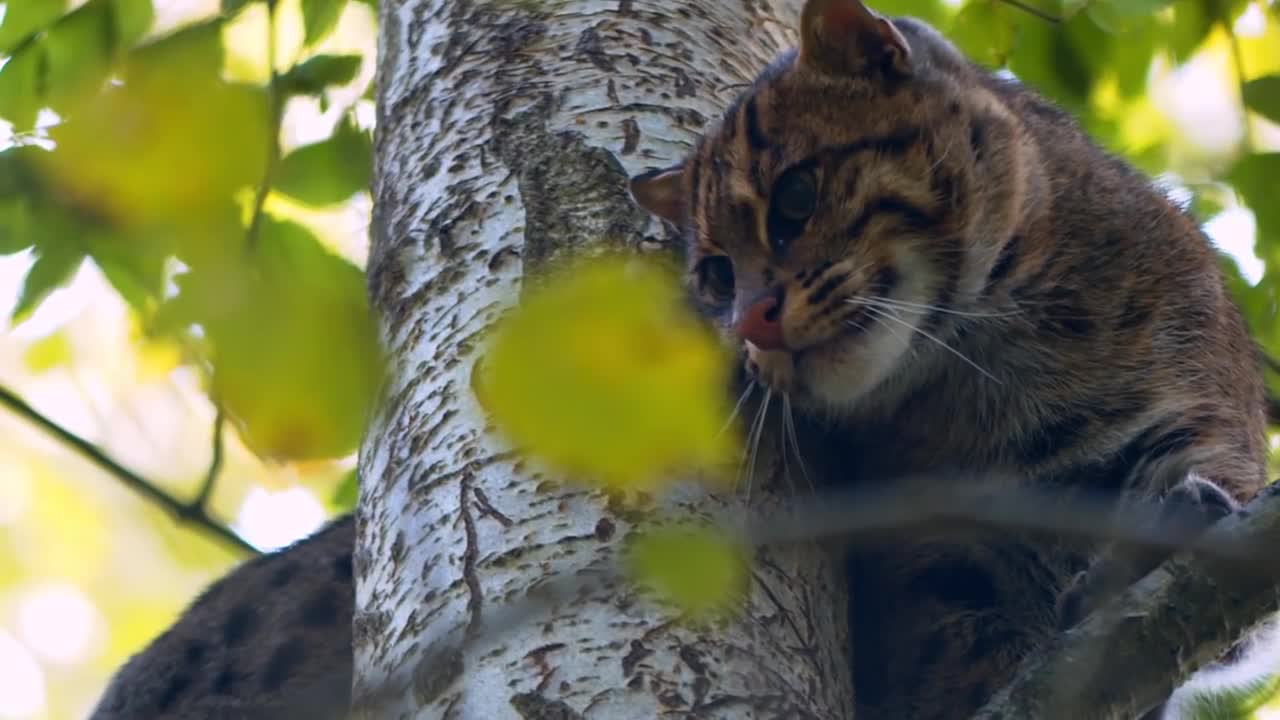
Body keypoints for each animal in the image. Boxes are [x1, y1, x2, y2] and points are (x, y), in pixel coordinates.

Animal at [629, 0, 1269, 712]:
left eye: (796, 197)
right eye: (717, 276)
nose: (750, 324)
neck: (981, 366)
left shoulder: (1197, 407)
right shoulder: (929, 553)